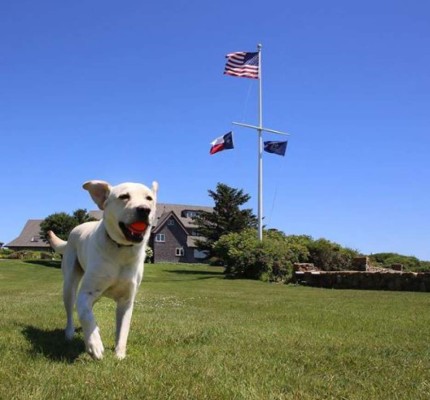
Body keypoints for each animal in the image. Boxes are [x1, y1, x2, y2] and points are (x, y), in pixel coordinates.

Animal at [47, 180, 158, 360]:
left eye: (149, 198)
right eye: (124, 196)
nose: (144, 209)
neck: (121, 249)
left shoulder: (126, 301)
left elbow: (123, 329)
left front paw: (119, 353)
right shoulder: (85, 295)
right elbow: (86, 317)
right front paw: (95, 345)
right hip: (69, 285)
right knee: (71, 311)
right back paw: (70, 333)